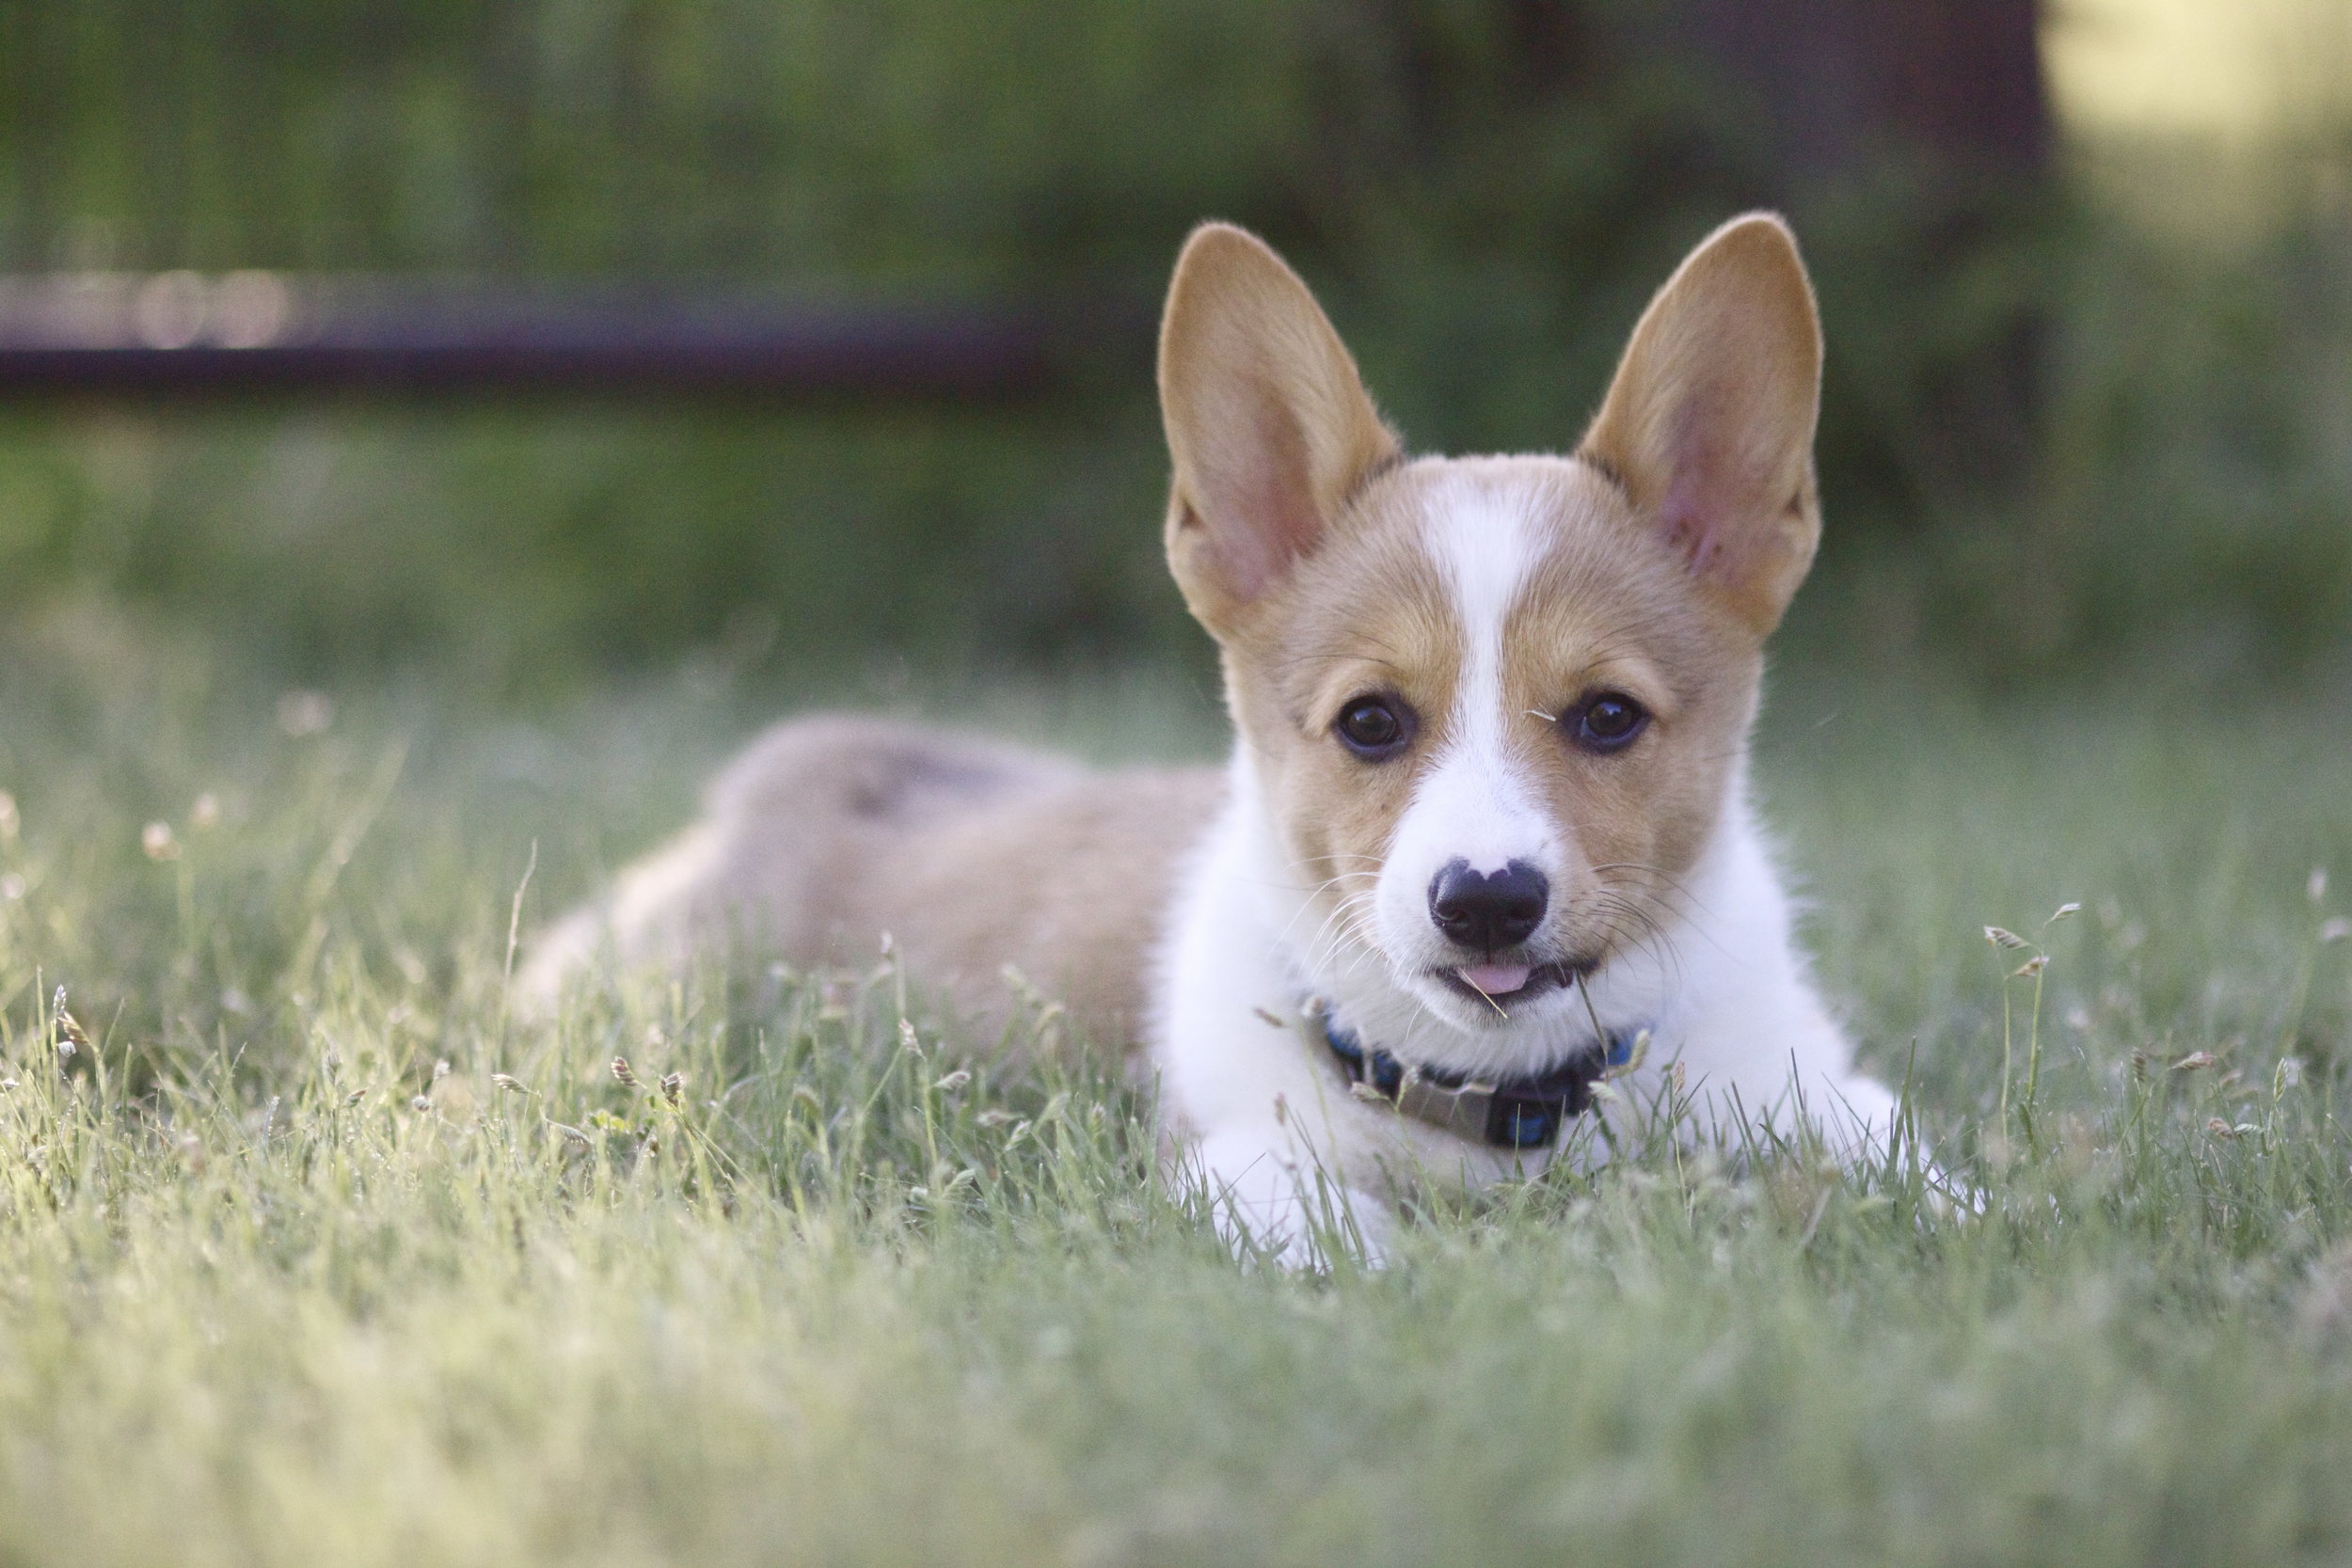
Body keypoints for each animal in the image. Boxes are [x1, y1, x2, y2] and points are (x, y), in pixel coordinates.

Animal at [524, 211, 1900, 1259]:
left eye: (1608, 716)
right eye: (1370, 720)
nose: (1487, 901)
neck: (1511, 1094)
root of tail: (771, 786)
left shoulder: (1824, 1095)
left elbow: (1906, 1173)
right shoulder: (1233, 1161)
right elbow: (1344, 1230)